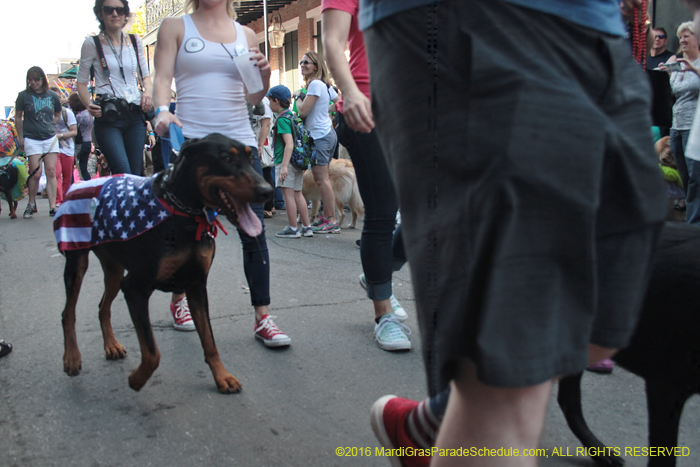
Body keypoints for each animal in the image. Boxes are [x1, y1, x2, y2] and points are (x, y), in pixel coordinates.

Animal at [55, 133, 274, 394]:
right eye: (227, 159)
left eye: (251, 158)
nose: (268, 191)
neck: (185, 214)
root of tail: (75, 186)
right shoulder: (136, 287)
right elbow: (152, 353)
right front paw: (136, 380)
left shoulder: (196, 285)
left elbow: (209, 341)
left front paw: (222, 376)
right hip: (77, 261)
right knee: (68, 312)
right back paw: (71, 358)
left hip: (114, 270)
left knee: (102, 307)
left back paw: (111, 345)